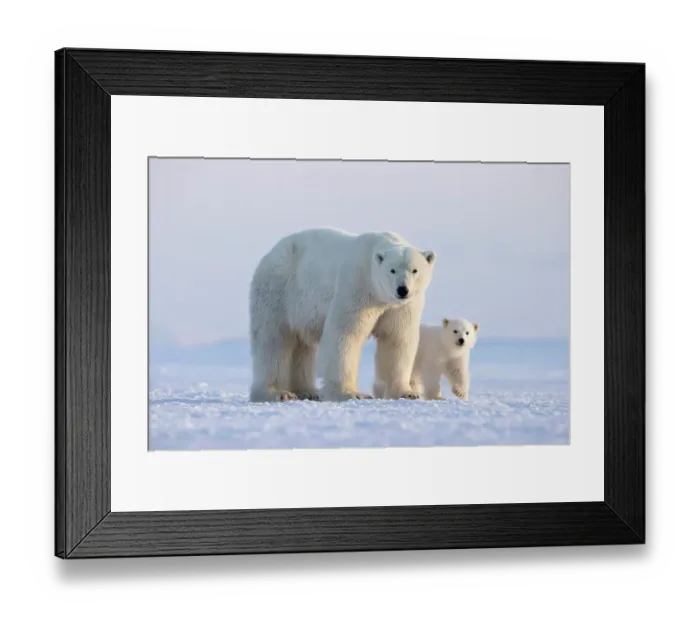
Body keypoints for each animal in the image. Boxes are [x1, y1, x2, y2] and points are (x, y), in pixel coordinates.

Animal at [248, 227, 436, 402]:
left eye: (414, 270)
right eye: (392, 270)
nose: (402, 289)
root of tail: (270, 254)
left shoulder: (400, 307)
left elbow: (398, 339)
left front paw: (407, 393)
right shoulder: (358, 287)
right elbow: (345, 334)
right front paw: (352, 394)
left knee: (302, 345)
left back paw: (308, 391)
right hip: (278, 291)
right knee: (273, 341)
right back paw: (277, 393)